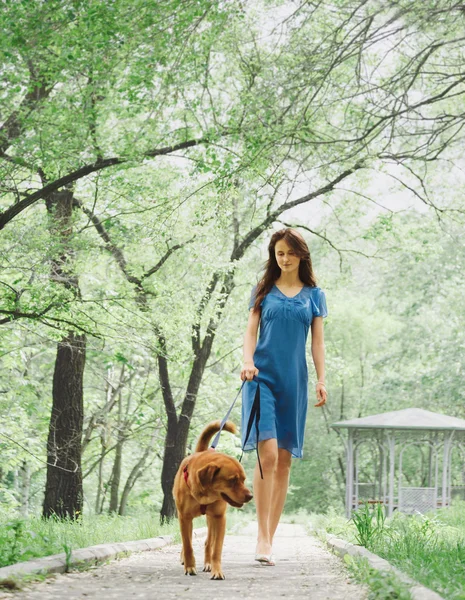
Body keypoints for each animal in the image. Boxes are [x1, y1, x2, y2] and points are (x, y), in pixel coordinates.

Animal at [173, 420, 252, 580]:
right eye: (232, 480)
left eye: (243, 479)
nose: (250, 496)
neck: (204, 495)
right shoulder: (184, 517)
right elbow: (187, 544)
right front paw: (190, 567)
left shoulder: (219, 518)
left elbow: (216, 548)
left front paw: (217, 571)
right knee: (188, 539)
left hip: (211, 520)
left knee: (208, 542)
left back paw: (208, 563)